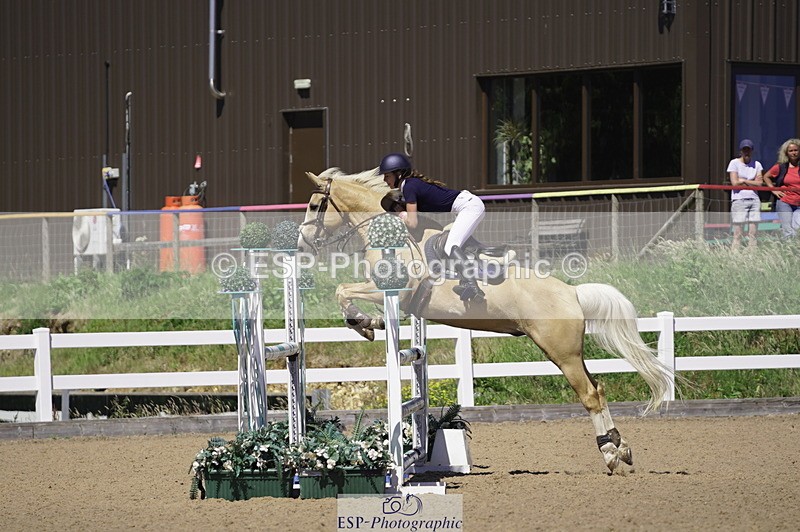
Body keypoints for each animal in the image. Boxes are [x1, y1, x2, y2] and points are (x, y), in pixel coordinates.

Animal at [297, 166, 675, 473]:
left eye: (315, 206)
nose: (303, 244)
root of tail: (572, 292)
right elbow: (345, 291)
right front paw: (368, 325)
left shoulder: (394, 291)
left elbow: (343, 291)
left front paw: (365, 324)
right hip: (570, 351)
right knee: (598, 387)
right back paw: (620, 447)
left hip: (561, 352)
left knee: (589, 395)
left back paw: (609, 454)